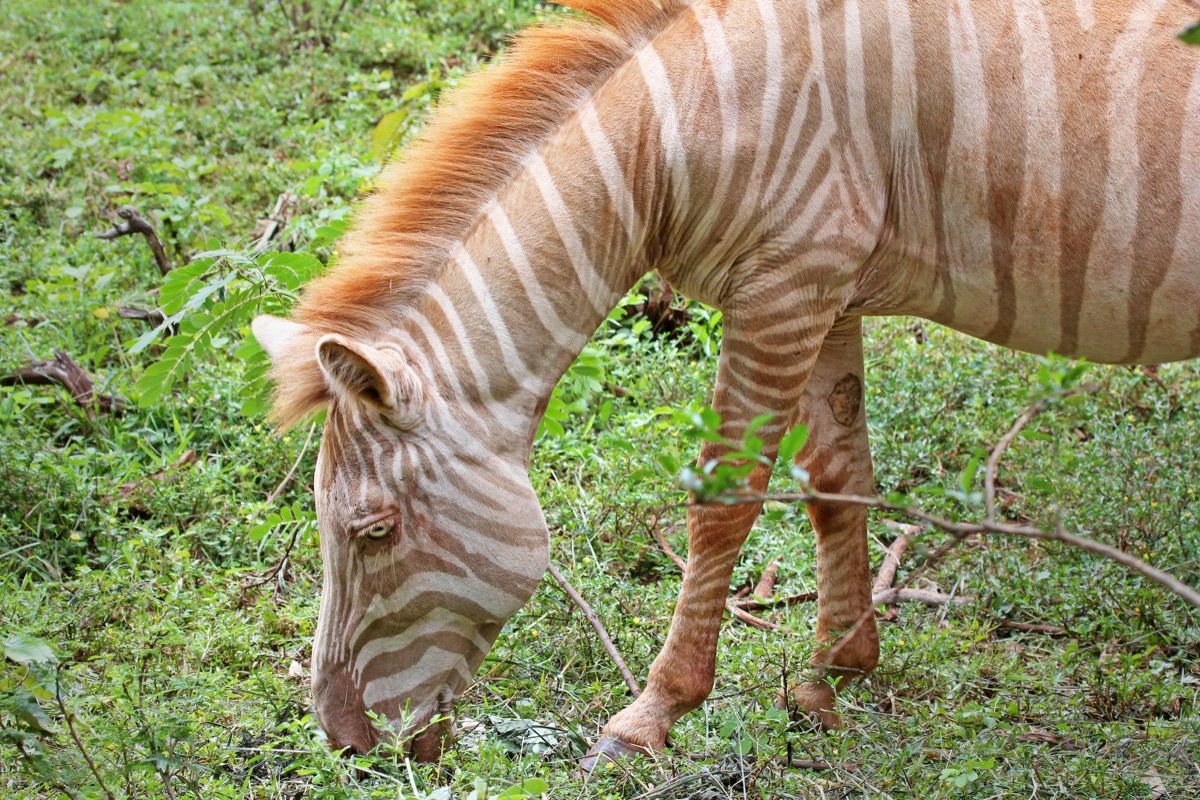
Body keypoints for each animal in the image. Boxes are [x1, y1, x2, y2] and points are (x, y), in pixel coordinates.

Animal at [248, 0, 1195, 767]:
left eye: (374, 532)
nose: (344, 743)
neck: (672, 136)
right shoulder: (826, 290)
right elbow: (837, 482)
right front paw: (828, 680)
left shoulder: (784, 287)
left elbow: (724, 503)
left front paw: (651, 717)